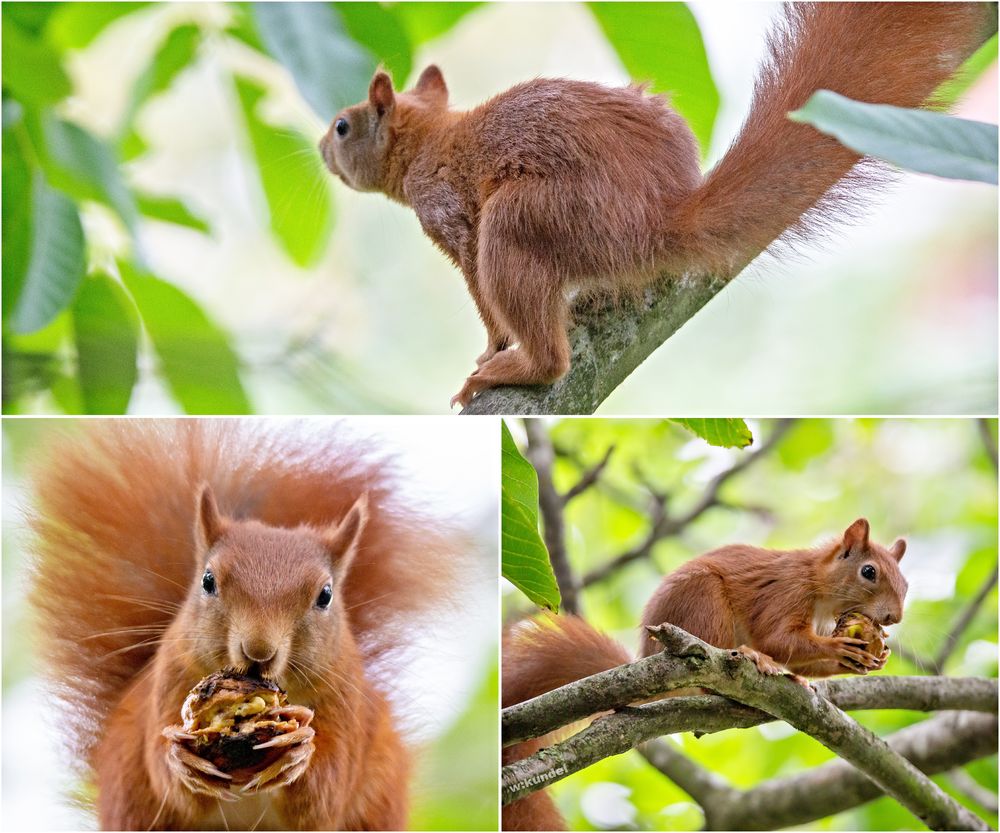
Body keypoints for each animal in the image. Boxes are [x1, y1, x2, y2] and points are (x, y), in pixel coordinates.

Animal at [27, 422, 464, 832]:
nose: (258, 651)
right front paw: (180, 760)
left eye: (325, 595)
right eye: (208, 581)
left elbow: (327, 792)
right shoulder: (170, 678)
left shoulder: (347, 704)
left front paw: (299, 747)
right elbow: (170, 780)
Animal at [320, 4, 992, 408]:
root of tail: (659, 219)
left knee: (547, 346)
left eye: (344, 125)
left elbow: (482, 298)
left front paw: (490, 348)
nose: (322, 148)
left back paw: (520, 365)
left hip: (528, 218)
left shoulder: (452, 216)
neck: (428, 140)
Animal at [504, 516, 912, 828]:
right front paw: (839, 649)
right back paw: (747, 660)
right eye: (868, 572)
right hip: (704, 601)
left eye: (906, 584)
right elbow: (778, 639)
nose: (894, 617)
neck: (823, 589)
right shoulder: (786, 591)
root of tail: (648, 655)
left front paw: (867, 659)